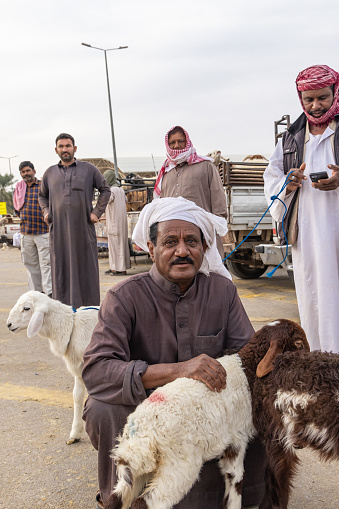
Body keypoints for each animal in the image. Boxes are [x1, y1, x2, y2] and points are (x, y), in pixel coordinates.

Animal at [6, 292, 99, 442]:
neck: (71, 325)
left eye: (26, 308)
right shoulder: (79, 369)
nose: (9, 324)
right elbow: (77, 396)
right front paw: (75, 433)